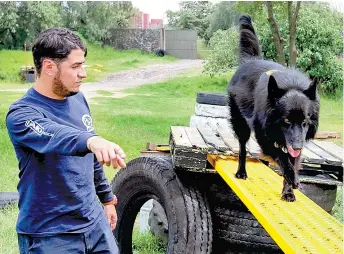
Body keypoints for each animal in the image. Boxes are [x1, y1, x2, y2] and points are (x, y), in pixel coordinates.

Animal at [228, 14, 320, 201]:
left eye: (305, 122)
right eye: (286, 120)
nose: (298, 147)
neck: (291, 85)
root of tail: (251, 60)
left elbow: (292, 159)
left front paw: (288, 191)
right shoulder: (264, 137)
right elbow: (281, 155)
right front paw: (292, 177)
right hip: (241, 125)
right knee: (242, 148)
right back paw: (241, 172)